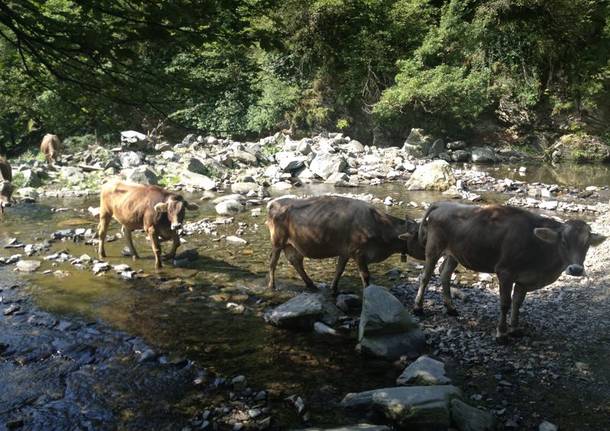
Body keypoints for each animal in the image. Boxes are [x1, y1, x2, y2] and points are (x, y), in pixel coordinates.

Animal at [264, 196, 426, 294]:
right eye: (423, 239)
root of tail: (275, 203)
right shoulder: (359, 252)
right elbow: (365, 275)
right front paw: (368, 292)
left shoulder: (345, 252)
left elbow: (339, 271)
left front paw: (333, 289)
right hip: (277, 241)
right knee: (272, 262)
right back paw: (272, 285)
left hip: (293, 244)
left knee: (296, 261)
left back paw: (311, 284)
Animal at [414, 201, 604, 342]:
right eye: (563, 241)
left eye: (587, 244)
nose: (576, 269)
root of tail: (444, 204)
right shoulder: (505, 272)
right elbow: (505, 302)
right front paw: (502, 332)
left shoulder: (524, 280)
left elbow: (518, 303)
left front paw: (515, 328)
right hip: (433, 248)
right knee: (425, 276)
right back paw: (418, 307)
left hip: (455, 254)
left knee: (444, 274)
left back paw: (451, 308)